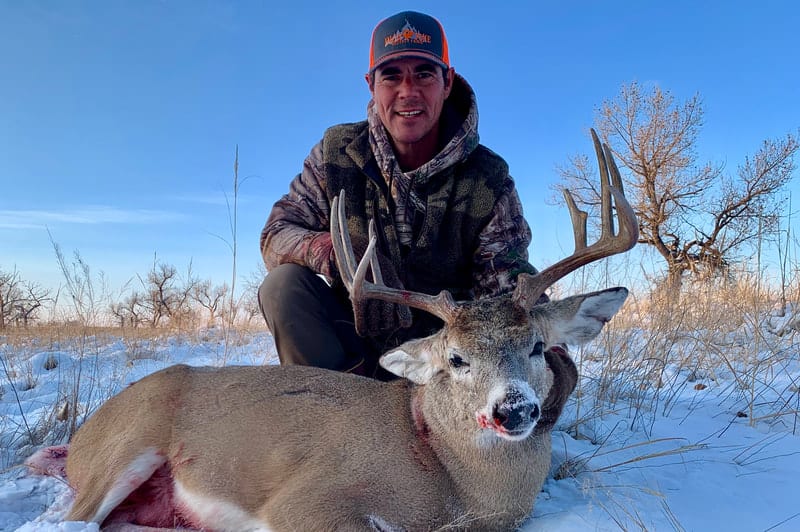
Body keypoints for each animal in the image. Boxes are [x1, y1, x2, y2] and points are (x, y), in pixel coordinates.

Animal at [25, 129, 637, 531]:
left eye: (537, 346)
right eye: (455, 359)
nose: (514, 410)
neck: (453, 483)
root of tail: (83, 437)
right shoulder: (306, 500)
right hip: (128, 444)